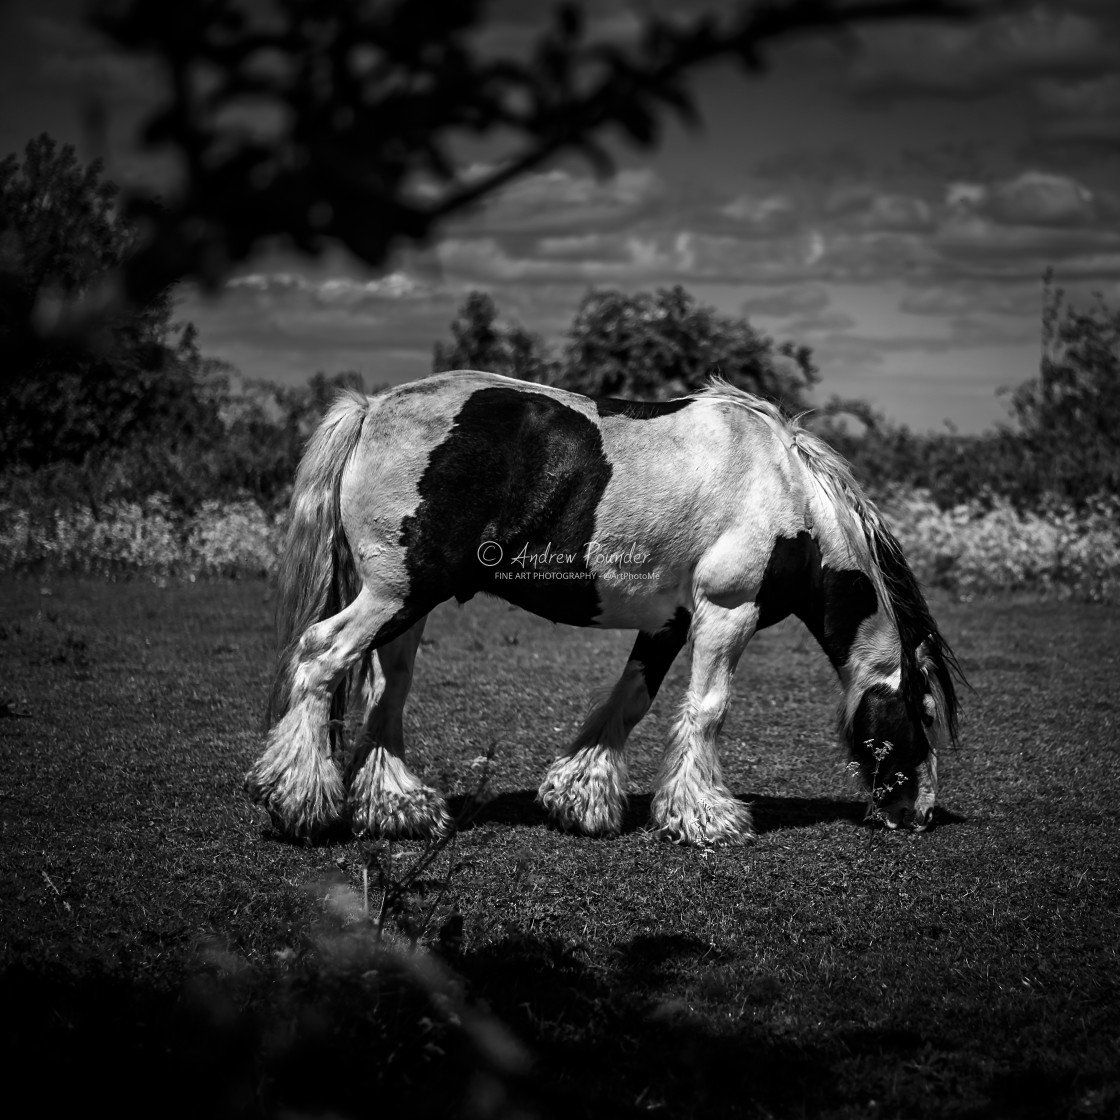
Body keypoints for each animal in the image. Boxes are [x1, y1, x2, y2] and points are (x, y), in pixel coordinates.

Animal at [247, 371, 963, 842]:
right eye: (923, 714)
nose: (918, 814)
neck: (785, 492)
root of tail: (369, 409)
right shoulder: (727, 611)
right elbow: (708, 707)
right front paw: (706, 818)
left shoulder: (671, 622)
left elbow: (632, 700)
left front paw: (580, 795)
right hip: (395, 595)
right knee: (321, 657)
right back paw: (298, 801)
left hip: (408, 606)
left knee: (386, 690)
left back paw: (398, 807)